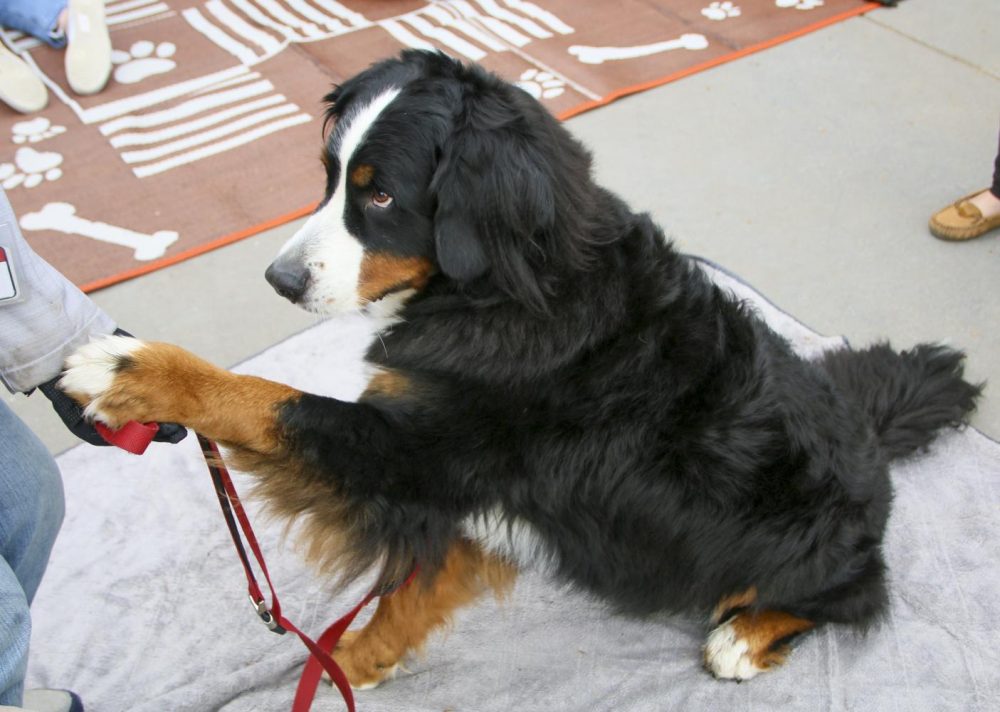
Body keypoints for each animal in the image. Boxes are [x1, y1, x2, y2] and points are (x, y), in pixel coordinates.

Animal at [58, 51, 980, 688]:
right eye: (329, 178)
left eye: (381, 195)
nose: (279, 279)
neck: (499, 292)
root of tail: (862, 434)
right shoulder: (469, 494)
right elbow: (407, 594)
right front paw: (352, 667)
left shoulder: (415, 451)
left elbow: (263, 397)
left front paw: (132, 369)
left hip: (807, 546)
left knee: (859, 594)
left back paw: (741, 639)